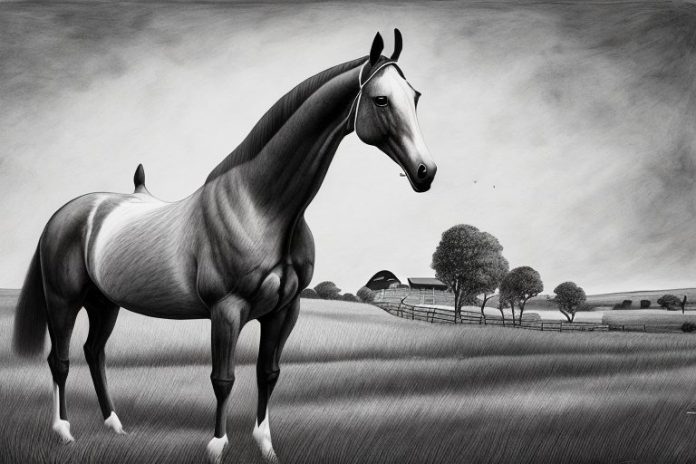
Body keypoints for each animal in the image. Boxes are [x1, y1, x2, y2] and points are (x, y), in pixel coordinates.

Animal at [12, 29, 436, 463]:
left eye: (415, 96)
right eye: (381, 99)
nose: (426, 172)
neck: (260, 207)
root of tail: (68, 212)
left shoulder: (285, 311)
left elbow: (268, 374)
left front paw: (265, 445)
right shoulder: (226, 310)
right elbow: (223, 378)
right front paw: (217, 445)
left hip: (104, 302)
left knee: (95, 353)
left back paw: (114, 424)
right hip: (63, 300)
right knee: (60, 360)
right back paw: (64, 431)